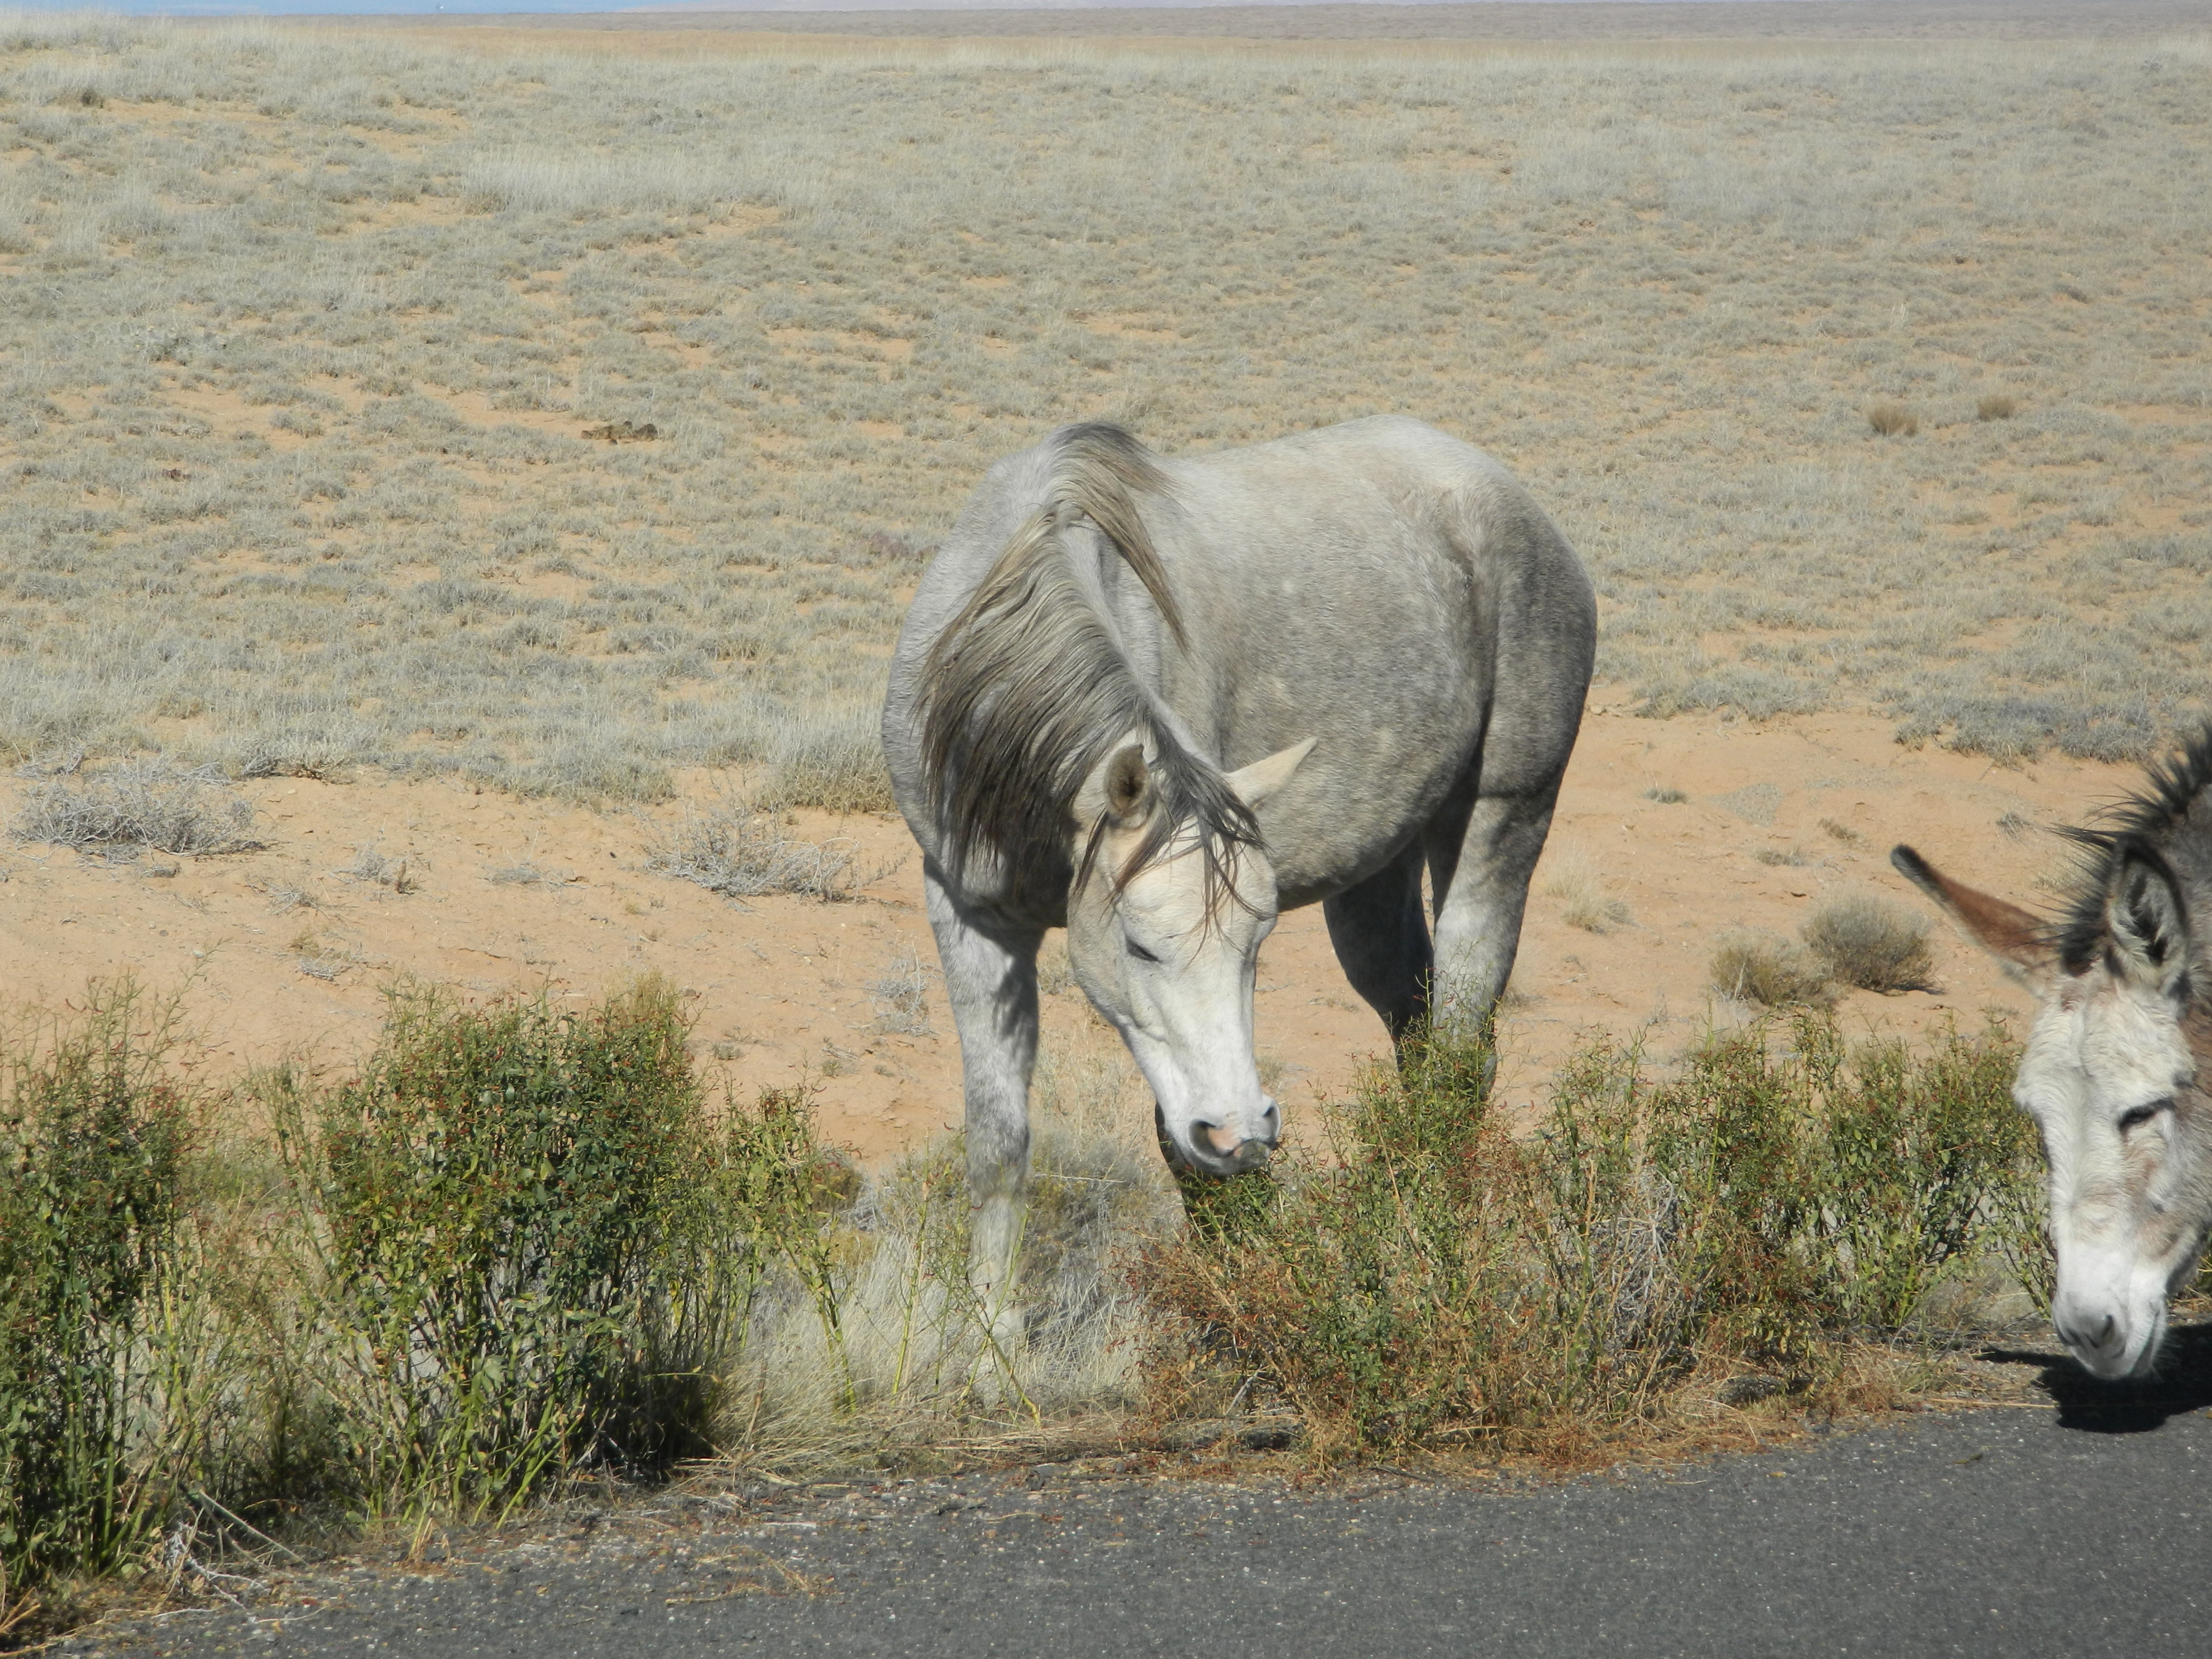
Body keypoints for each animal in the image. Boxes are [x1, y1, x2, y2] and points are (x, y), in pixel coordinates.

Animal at [876, 422, 1592, 1336]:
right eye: (1141, 948)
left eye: (1258, 946)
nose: (1244, 1129)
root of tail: (1508, 496)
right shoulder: (968, 913)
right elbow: (1000, 1144)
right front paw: (992, 1345)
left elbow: (1188, 1161)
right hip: (1374, 888)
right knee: (1420, 1039)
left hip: (1503, 820)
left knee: (1460, 1060)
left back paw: (1441, 1253)